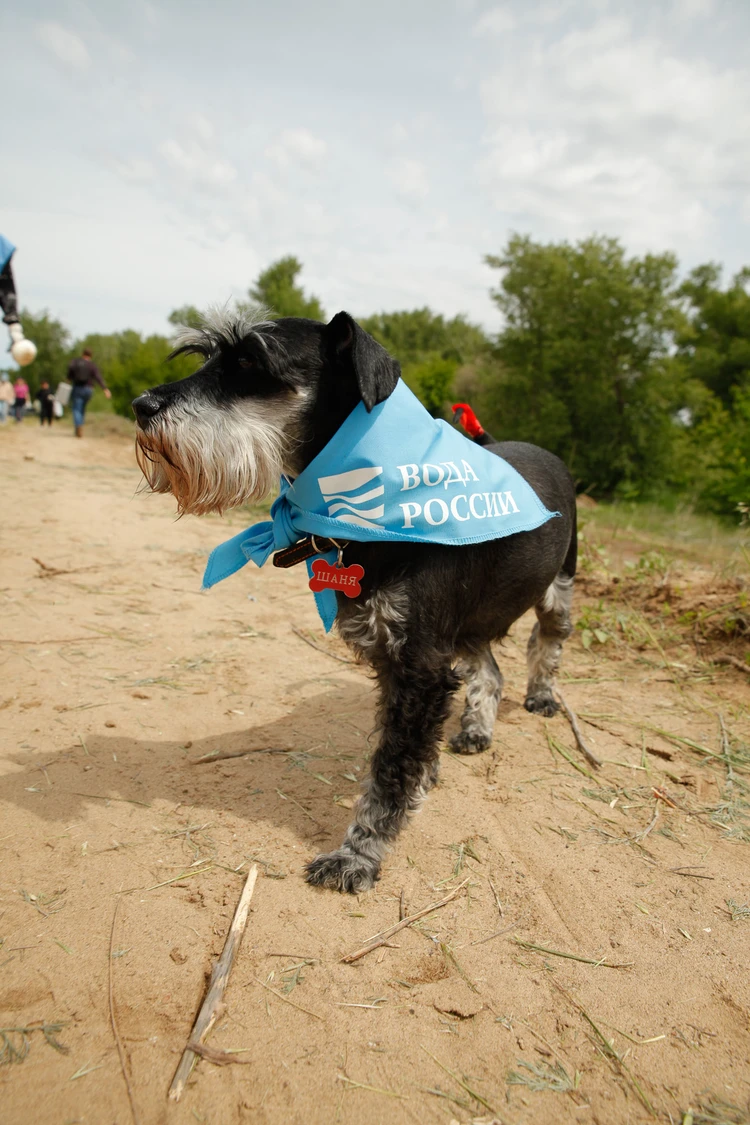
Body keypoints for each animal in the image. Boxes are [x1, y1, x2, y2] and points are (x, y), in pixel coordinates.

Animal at [133, 312, 580, 891]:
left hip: (558, 589)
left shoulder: (419, 666)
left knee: (546, 645)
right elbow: (407, 751)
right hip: (464, 627)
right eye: (207, 357)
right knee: (490, 669)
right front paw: (422, 780)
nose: (141, 405)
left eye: (251, 360)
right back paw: (477, 728)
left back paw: (543, 697)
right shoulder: (410, 655)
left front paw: (358, 854)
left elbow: (390, 769)